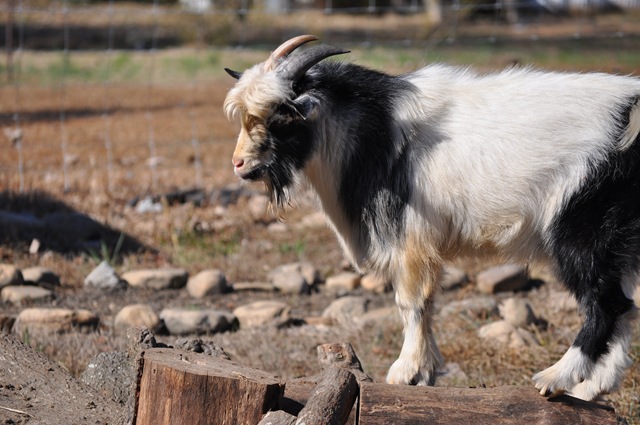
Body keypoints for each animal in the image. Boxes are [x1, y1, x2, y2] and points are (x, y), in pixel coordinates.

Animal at [223, 35, 640, 401]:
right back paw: (593, 387)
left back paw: (554, 379)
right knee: (623, 305)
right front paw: (426, 371)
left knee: (603, 305)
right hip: (620, 241)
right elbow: (426, 303)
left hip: (582, 229)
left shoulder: (411, 240)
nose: (238, 164)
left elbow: (412, 303)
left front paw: (406, 371)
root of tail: (630, 115)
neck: (377, 130)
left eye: (280, 117)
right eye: (243, 118)